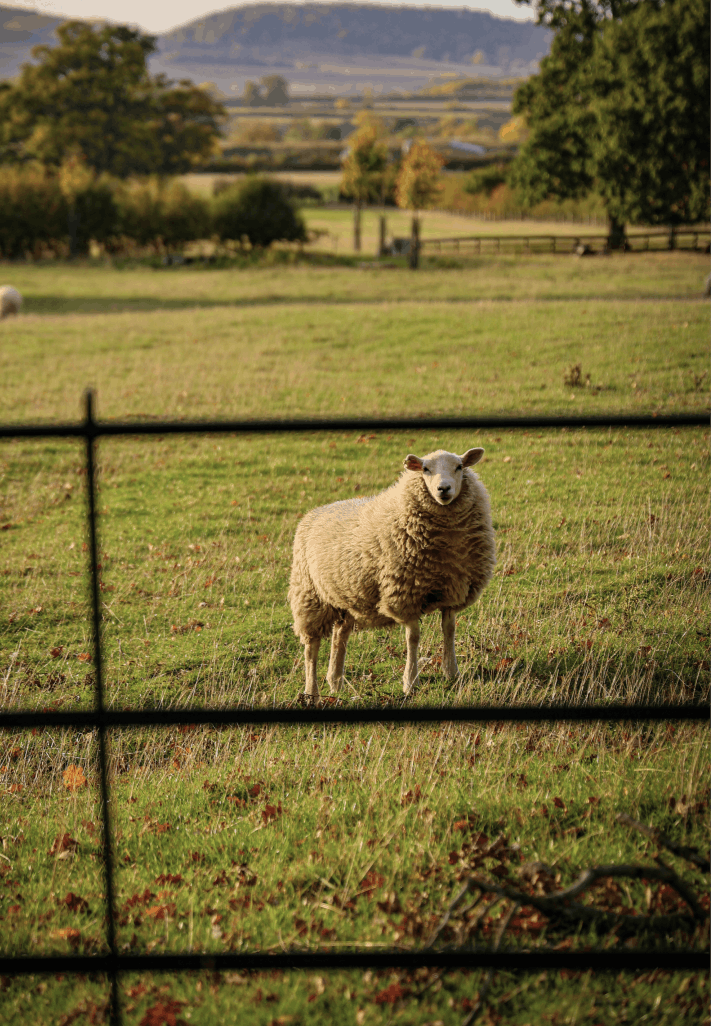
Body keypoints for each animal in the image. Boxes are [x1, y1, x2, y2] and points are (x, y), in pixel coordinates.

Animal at [288, 447, 496, 699]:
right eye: (425, 469)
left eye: (459, 467)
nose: (443, 489)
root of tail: (314, 512)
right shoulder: (405, 594)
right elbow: (413, 638)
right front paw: (410, 682)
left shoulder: (452, 591)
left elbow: (449, 630)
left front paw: (452, 673)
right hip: (309, 595)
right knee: (311, 647)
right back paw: (312, 691)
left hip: (347, 599)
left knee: (340, 636)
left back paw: (335, 683)